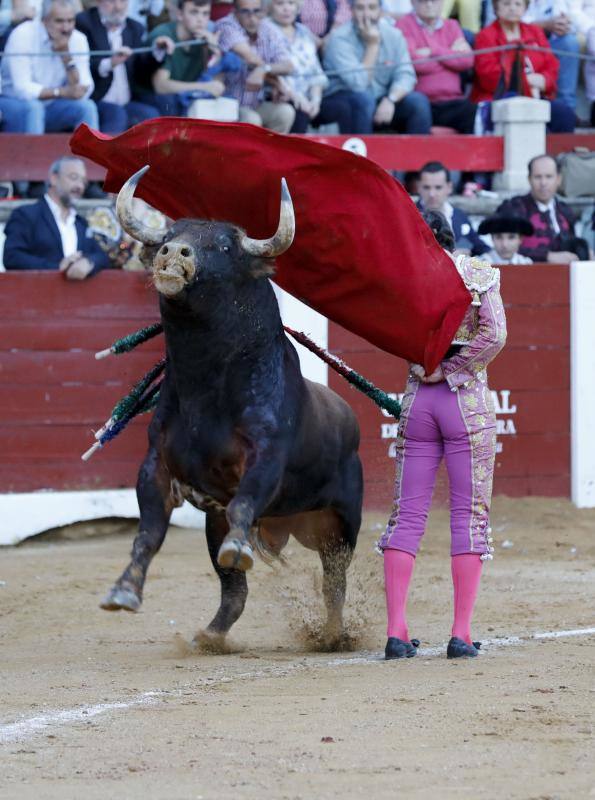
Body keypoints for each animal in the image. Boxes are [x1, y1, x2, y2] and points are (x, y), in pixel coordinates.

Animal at [100, 169, 366, 648]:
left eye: (224, 247)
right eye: (168, 234)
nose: (173, 253)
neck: (205, 387)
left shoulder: (265, 460)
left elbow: (244, 504)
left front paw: (239, 548)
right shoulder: (158, 466)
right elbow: (148, 533)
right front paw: (124, 590)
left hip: (341, 523)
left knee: (333, 582)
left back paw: (334, 636)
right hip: (218, 523)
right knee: (234, 590)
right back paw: (211, 635)